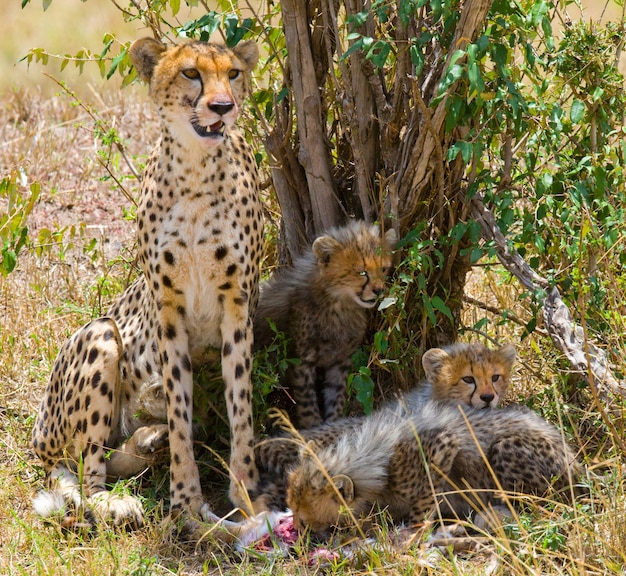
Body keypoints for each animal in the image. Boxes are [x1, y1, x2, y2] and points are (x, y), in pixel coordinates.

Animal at [32, 37, 260, 528]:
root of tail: (37, 437)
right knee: (82, 467)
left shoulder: (237, 304)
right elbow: (179, 407)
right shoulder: (167, 308)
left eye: (233, 73)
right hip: (99, 336)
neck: (196, 171)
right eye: (191, 73)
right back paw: (115, 499)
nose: (223, 106)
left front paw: (248, 492)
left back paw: (147, 441)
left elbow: (241, 403)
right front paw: (186, 501)